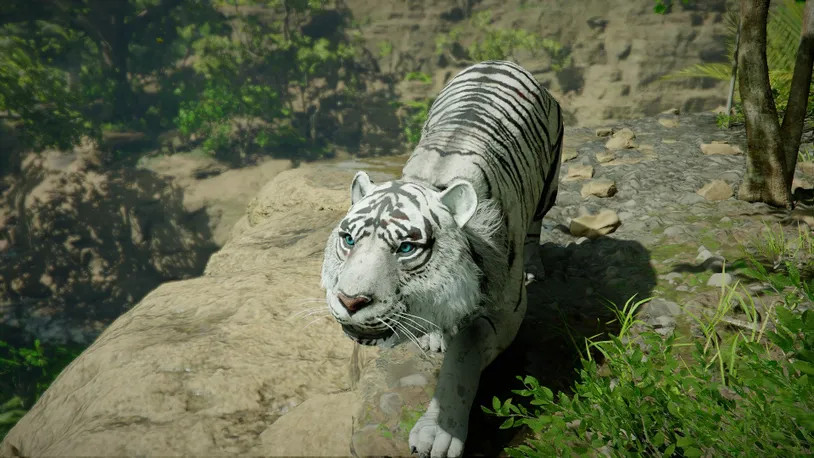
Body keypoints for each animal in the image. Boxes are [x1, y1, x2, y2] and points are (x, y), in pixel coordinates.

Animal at [321, 60, 563, 457]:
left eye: (406, 248)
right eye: (349, 240)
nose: (350, 300)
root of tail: (502, 61)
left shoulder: (505, 312)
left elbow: (463, 358)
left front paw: (437, 434)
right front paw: (435, 335)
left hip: (549, 185)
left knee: (536, 226)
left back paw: (534, 268)